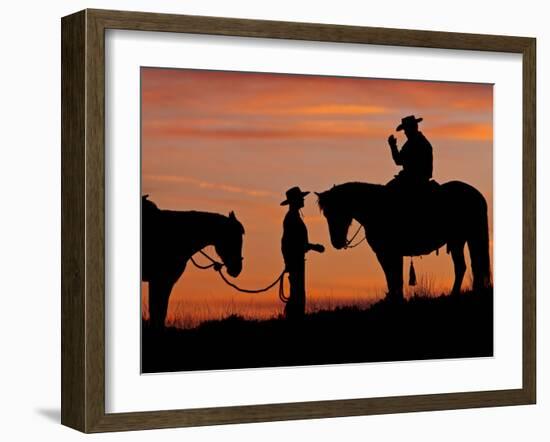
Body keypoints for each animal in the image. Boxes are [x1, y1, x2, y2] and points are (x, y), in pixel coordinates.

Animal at [143, 196, 245, 328]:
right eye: (233, 237)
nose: (237, 269)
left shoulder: (163, 280)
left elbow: (159, 311)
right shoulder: (160, 279)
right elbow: (158, 310)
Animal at [316, 181, 494, 302]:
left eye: (338, 211)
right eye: (326, 214)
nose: (337, 242)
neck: (376, 207)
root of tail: (476, 194)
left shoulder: (388, 252)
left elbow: (394, 276)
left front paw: (396, 299)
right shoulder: (388, 253)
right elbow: (392, 276)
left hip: (461, 239)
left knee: (465, 266)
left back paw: (455, 294)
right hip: (463, 240)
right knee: (471, 266)